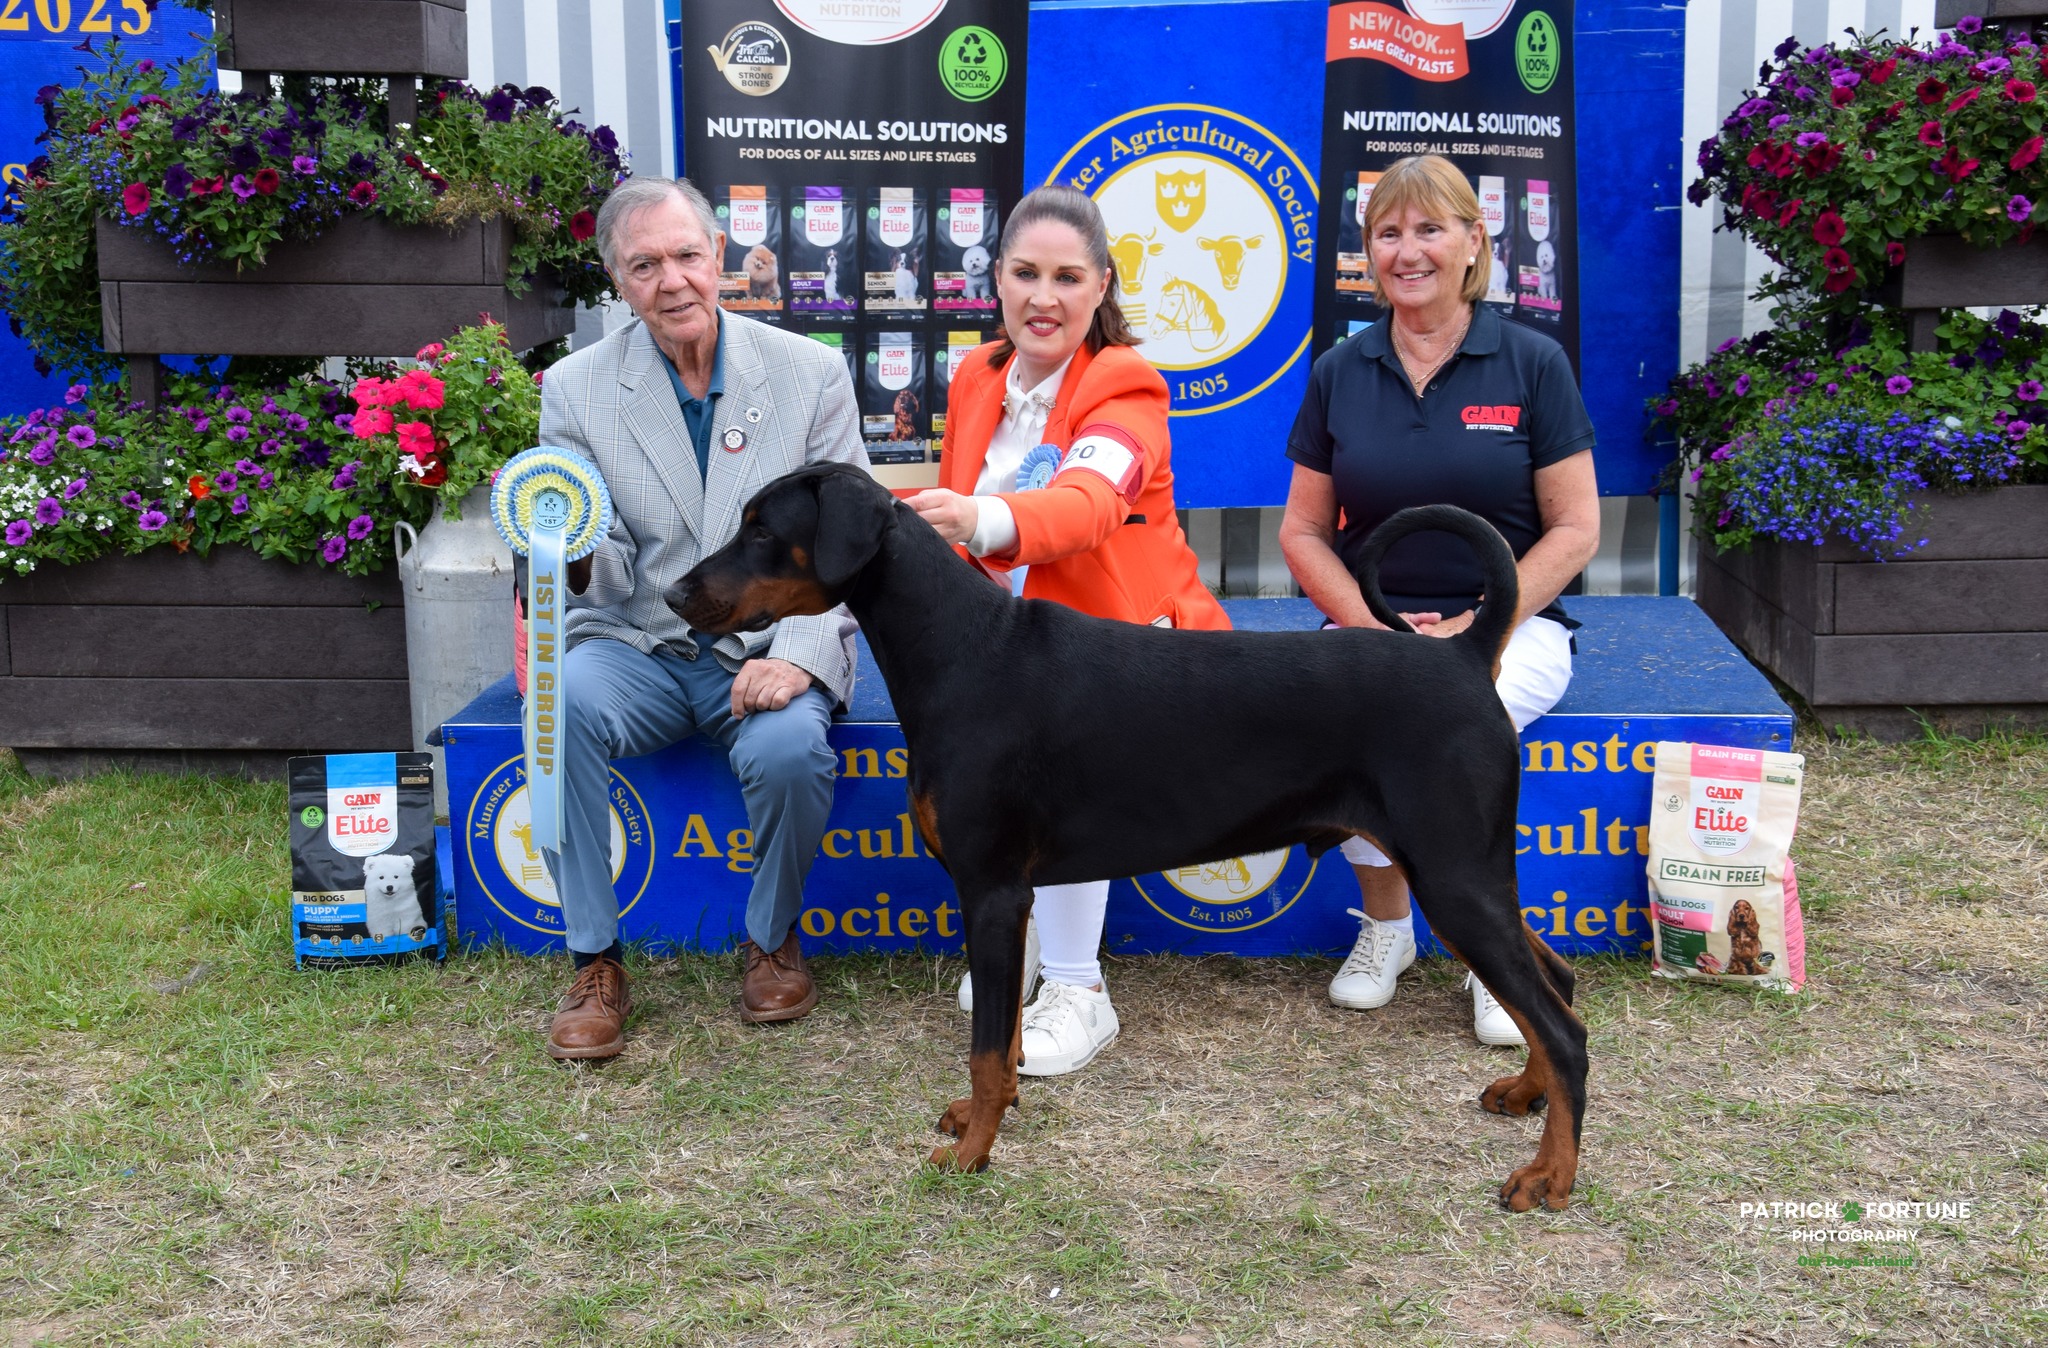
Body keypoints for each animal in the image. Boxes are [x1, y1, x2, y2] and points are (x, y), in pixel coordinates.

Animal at [673, 463, 1590, 1212]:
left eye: (763, 528)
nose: (676, 595)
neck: (959, 650)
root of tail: (1465, 656)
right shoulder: (1011, 900)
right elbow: (1004, 1040)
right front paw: (983, 1119)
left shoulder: (991, 891)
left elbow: (986, 1047)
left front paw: (972, 1154)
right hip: (1470, 874)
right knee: (1558, 982)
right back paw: (1524, 1096)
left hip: (1453, 875)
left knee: (1565, 1028)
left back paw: (1549, 1178)